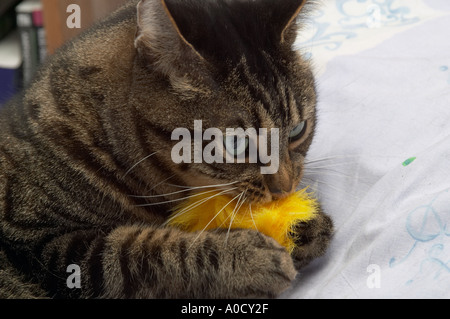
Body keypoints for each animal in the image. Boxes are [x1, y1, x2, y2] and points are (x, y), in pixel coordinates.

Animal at [0, 0, 330, 300]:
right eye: (236, 144)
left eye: (298, 130)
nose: (285, 189)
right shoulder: (48, 248)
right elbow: (140, 255)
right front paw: (247, 259)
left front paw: (305, 225)